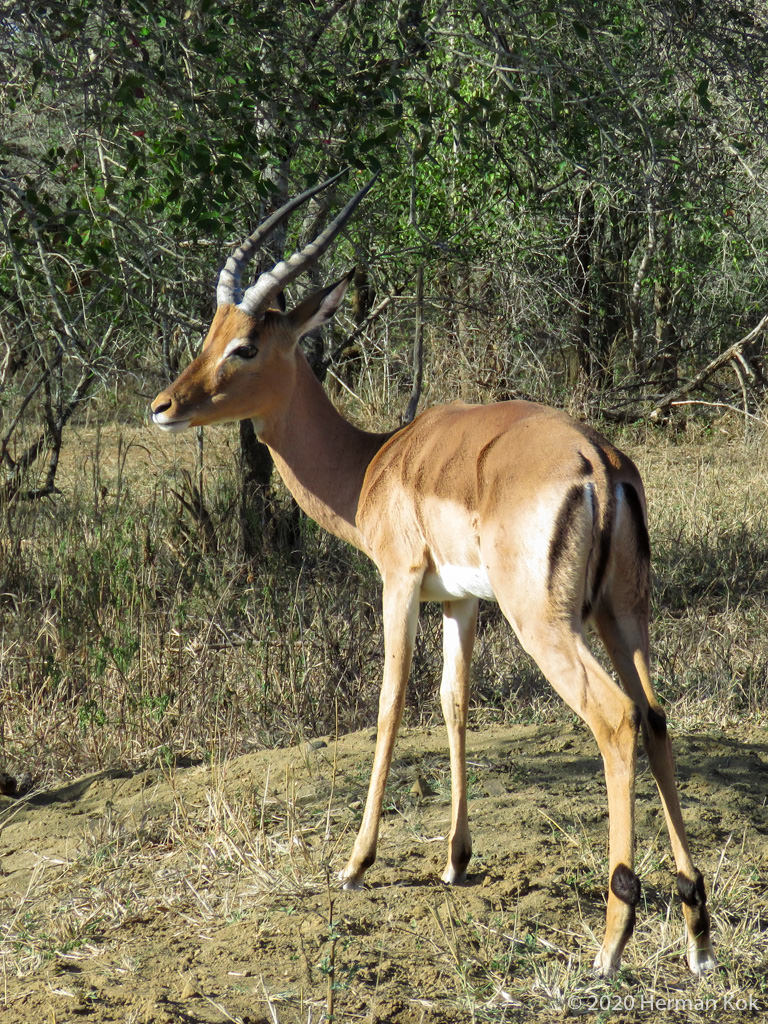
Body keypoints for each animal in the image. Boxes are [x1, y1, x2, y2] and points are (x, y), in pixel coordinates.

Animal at [151, 176, 715, 976]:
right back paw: (696, 927)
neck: (373, 465)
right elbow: (454, 702)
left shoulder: (399, 584)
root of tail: (600, 464)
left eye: (246, 344)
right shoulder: (460, 603)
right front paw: (454, 859)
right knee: (658, 716)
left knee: (617, 719)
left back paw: (612, 939)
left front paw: (355, 864)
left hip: (548, 623)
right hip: (621, 613)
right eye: (209, 332)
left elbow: (390, 702)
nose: (164, 406)